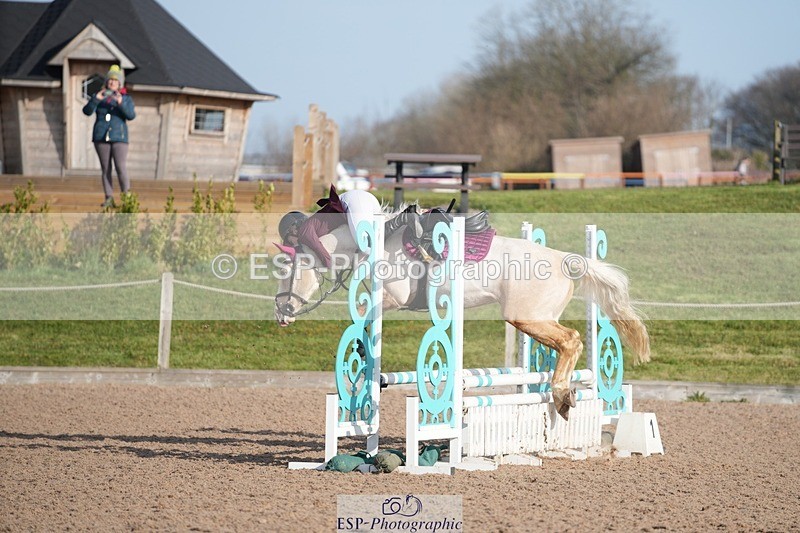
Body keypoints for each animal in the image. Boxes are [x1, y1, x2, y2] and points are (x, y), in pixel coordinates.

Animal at [274, 208, 650, 420]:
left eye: (286, 268)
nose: (282, 312)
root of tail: (567, 259)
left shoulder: (391, 299)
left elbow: (365, 319)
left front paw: (364, 354)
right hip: (538, 318)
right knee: (566, 345)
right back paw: (564, 395)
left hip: (526, 317)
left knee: (571, 340)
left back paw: (561, 395)